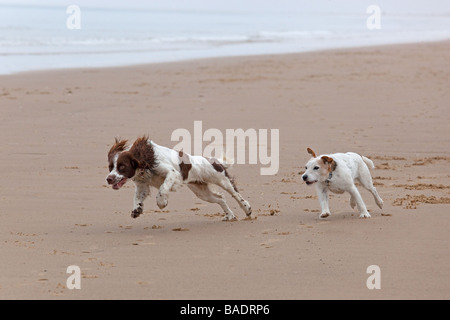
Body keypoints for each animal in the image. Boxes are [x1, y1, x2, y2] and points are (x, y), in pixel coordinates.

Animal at [106, 136, 253, 221]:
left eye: (122, 166)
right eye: (110, 167)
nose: (109, 179)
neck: (145, 160)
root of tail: (214, 161)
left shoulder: (173, 174)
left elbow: (163, 188)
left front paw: (162, 202)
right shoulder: (142, 185)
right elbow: (137, 197)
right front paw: (136, 209)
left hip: (221, 180)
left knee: (235, 194)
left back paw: (247, 208)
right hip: (201, 192)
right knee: (220, 198)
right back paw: (230, 216)